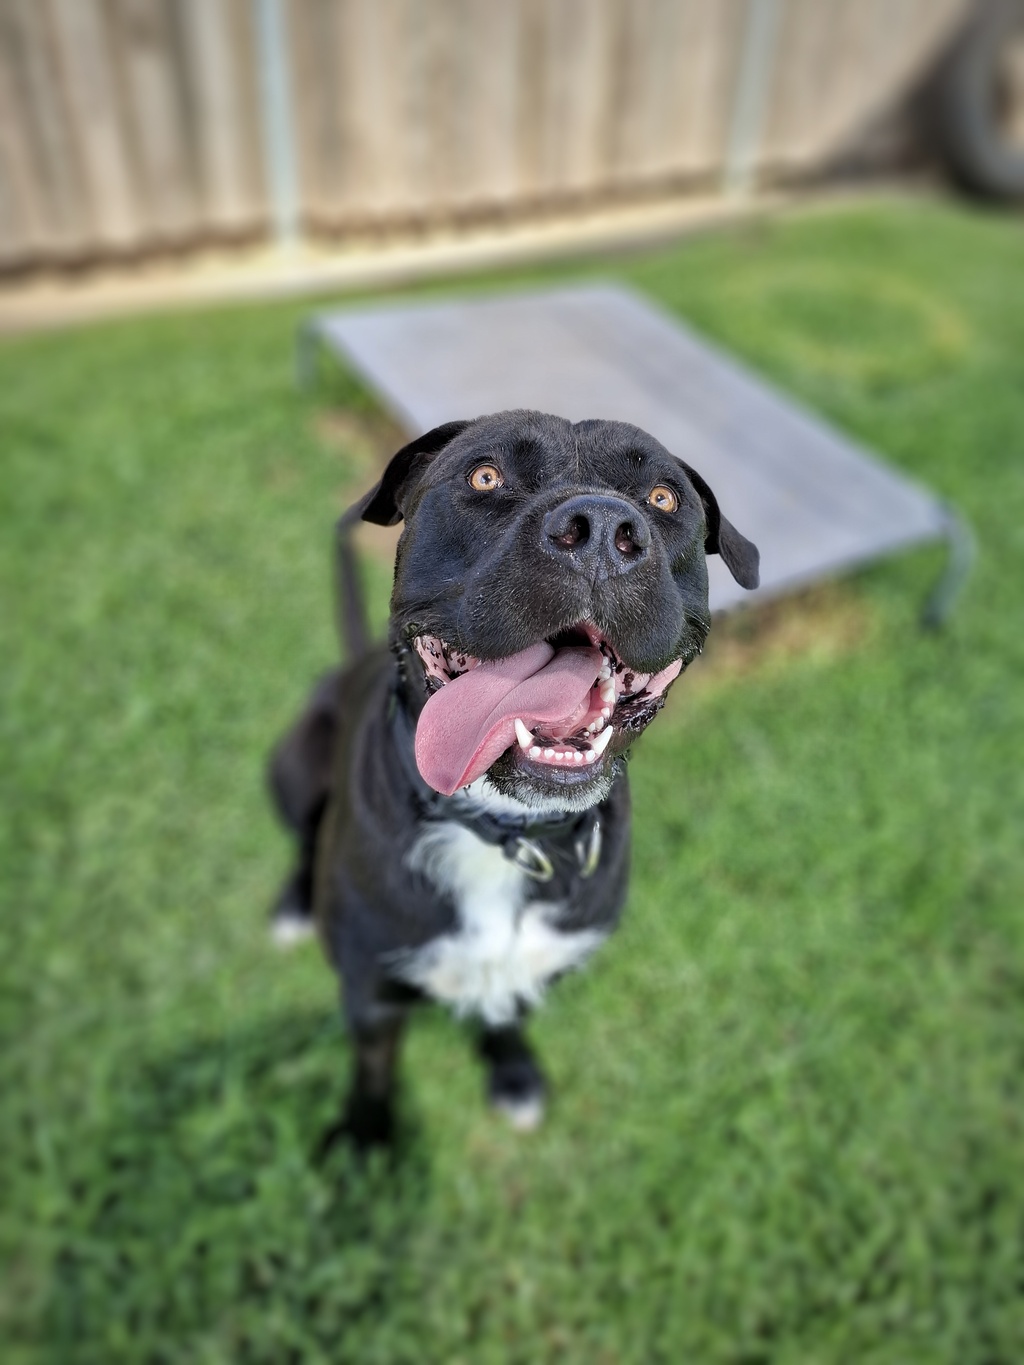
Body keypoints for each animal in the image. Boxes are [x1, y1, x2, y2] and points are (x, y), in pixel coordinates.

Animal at [269, 410, 759, 1147]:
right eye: (485, 475)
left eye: (663, 498)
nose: (602, 530)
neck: (505, 833)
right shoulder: (371, 990)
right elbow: (373, 1072)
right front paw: (365, 1143)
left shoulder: (541, 964)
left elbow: (507, 1015)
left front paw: (515, 1074)